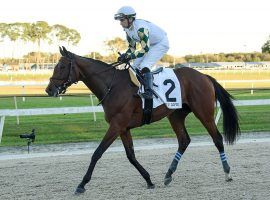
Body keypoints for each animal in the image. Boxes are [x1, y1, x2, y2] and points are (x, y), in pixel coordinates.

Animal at [44, 47, 240, 194]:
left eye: (61, 67)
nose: (49, 89)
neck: (112, 86)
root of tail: (204, 76)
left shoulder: (116, 125)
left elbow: (97, 153)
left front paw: (81, 184)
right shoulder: (123, 128)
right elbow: (131, 155)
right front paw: (149, 180)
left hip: (204, 113)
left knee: (217, 139)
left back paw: (227, 173)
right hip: (175, 115)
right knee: (184, 140)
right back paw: (168, 174)